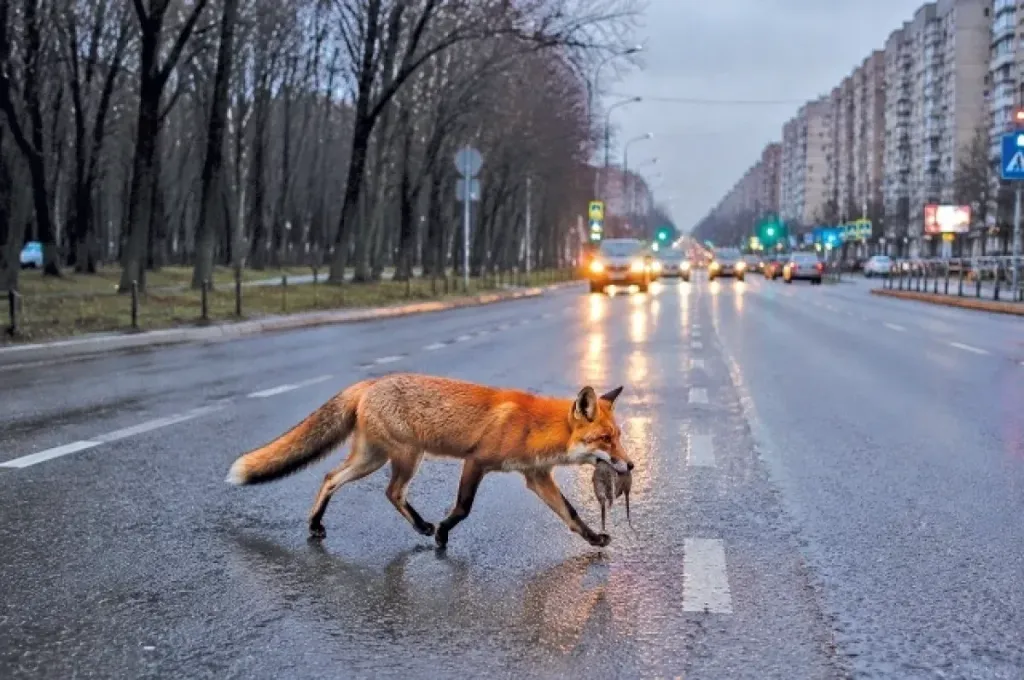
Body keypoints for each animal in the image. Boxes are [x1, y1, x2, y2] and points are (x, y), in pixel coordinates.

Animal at [225, 372, 635, 549]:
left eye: (619, 437)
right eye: (605, 439)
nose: (630, 466)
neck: (534, 427)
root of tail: (370, 383)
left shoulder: (536, 476)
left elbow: (571, 514)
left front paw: (594, 539)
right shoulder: (477, 461)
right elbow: (463, 508)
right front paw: (442, 533)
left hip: (372, 459)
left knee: (329, 477)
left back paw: (315, 525)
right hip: (406, 457)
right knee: (391, 492)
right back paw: (423, 527)